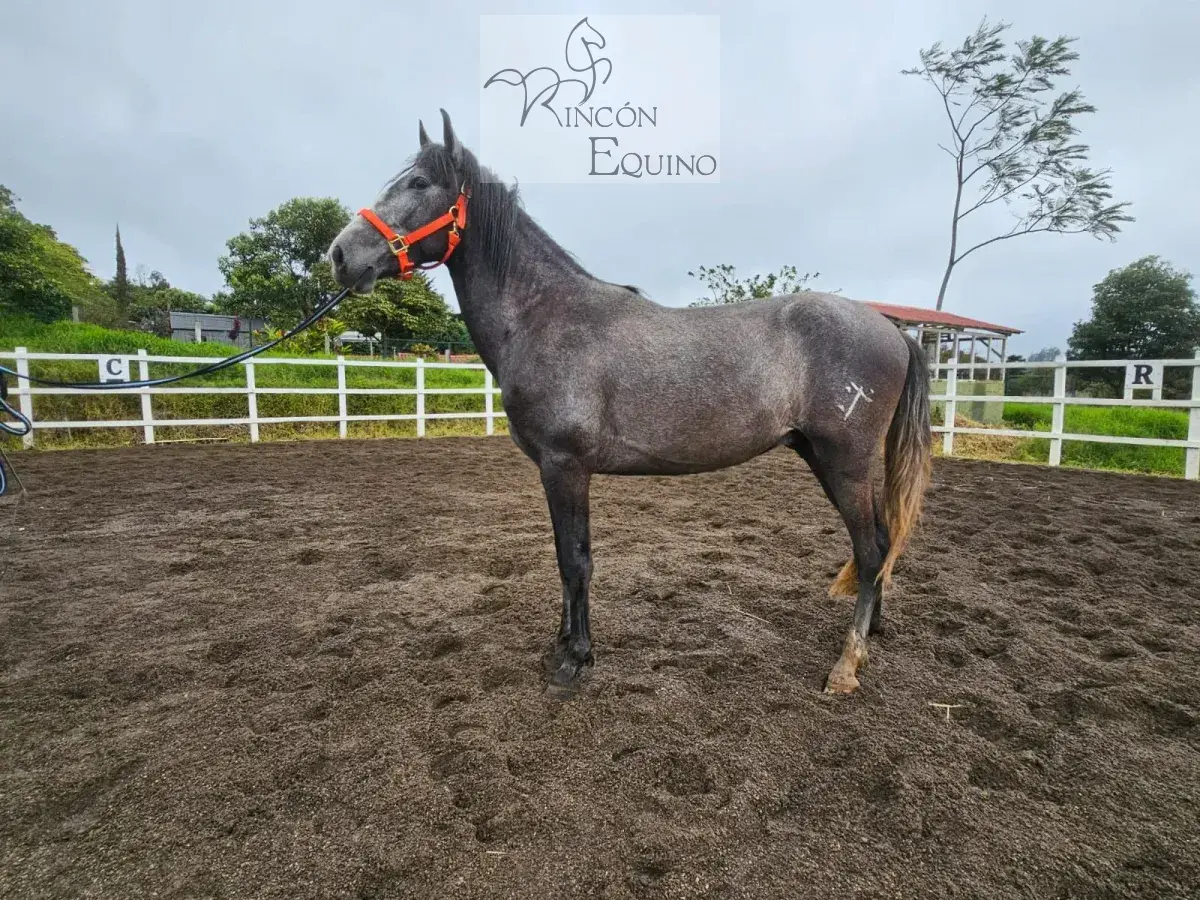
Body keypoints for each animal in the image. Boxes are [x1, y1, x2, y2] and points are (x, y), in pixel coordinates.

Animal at [328, 110, 932, 697]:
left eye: (418, 183)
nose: (339, 255)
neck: (544, 315)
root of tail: (893, 331)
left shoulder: (565, 465)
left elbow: (575, 561)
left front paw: (573, 661)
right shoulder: (558, 470)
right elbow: (564, 557)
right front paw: (562, 645)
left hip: (844, 462)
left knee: (872, 551)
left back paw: (846, 667)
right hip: (820, 456)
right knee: (879, 544)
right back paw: (871, 633)